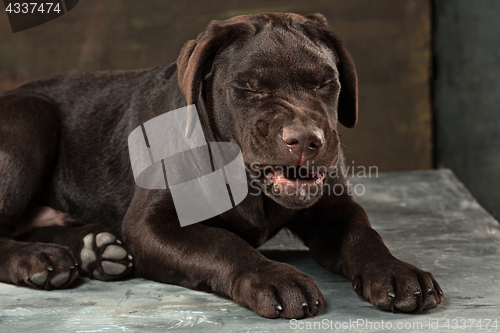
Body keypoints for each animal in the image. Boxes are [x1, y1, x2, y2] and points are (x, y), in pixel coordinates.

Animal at [0, 13, 444, 318]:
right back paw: (41, 259)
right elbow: (221, 242)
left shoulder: (334, 207)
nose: (304, 139)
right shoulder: (151, 225)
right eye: (248, 87)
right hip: (31, 116)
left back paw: (95, 248)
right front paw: (275, 277)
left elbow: (362, 234)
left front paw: (395, 270)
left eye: (325, 83)